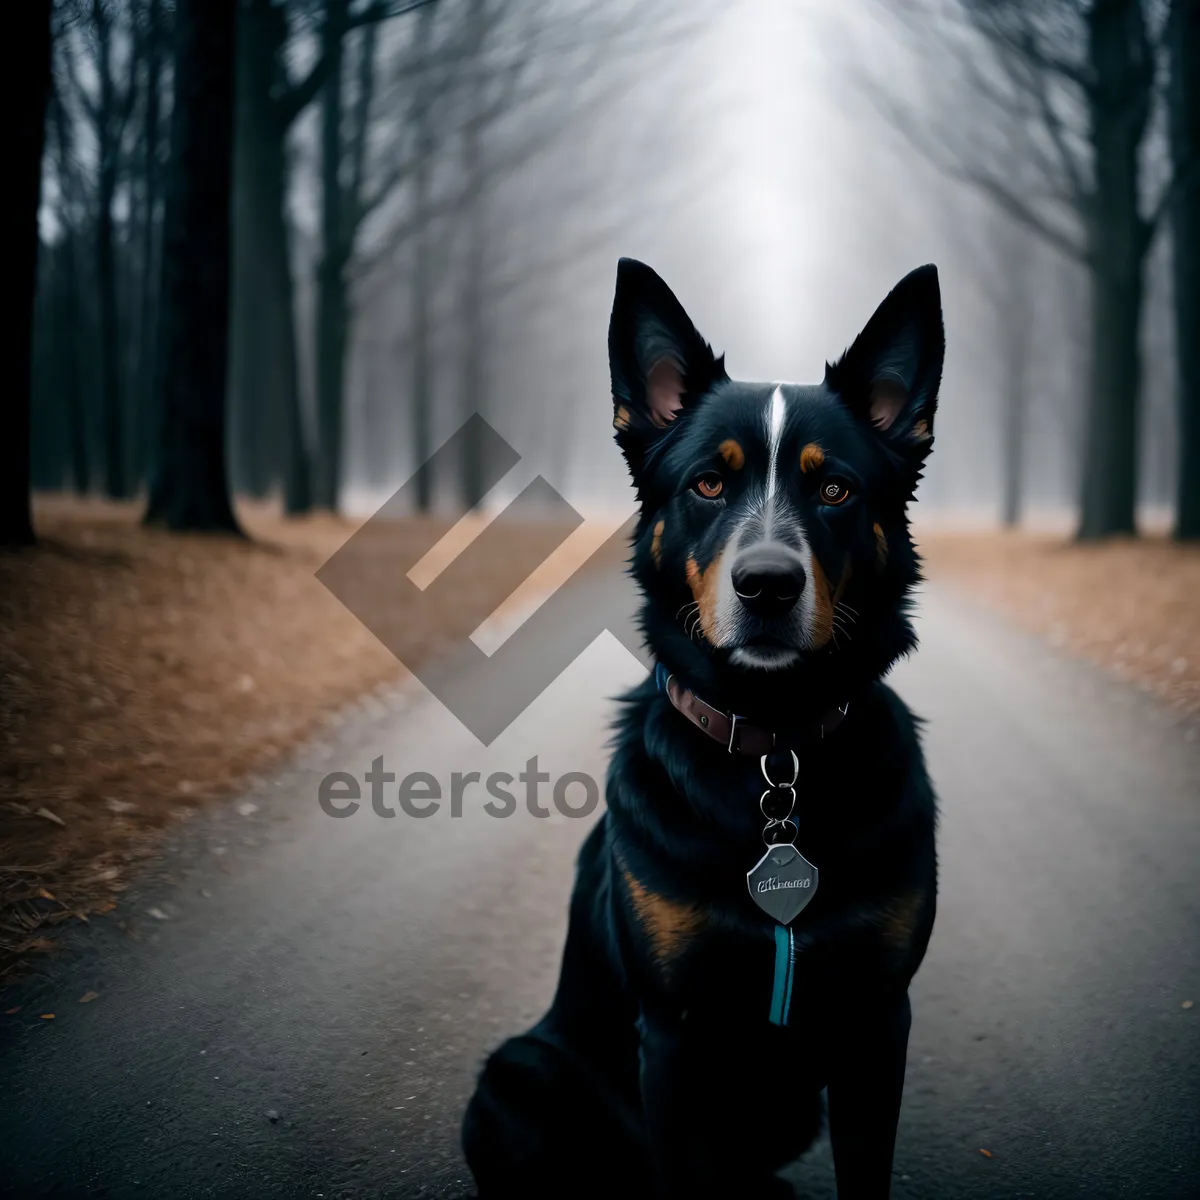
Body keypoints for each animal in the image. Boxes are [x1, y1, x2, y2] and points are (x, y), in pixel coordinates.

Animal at [463, 258, 940, 1195]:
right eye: (708, 484)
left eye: (835, 488)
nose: (768, 585)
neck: (776, 748)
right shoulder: (673, 1037)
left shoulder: (878, 1026)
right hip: (515, 1076)